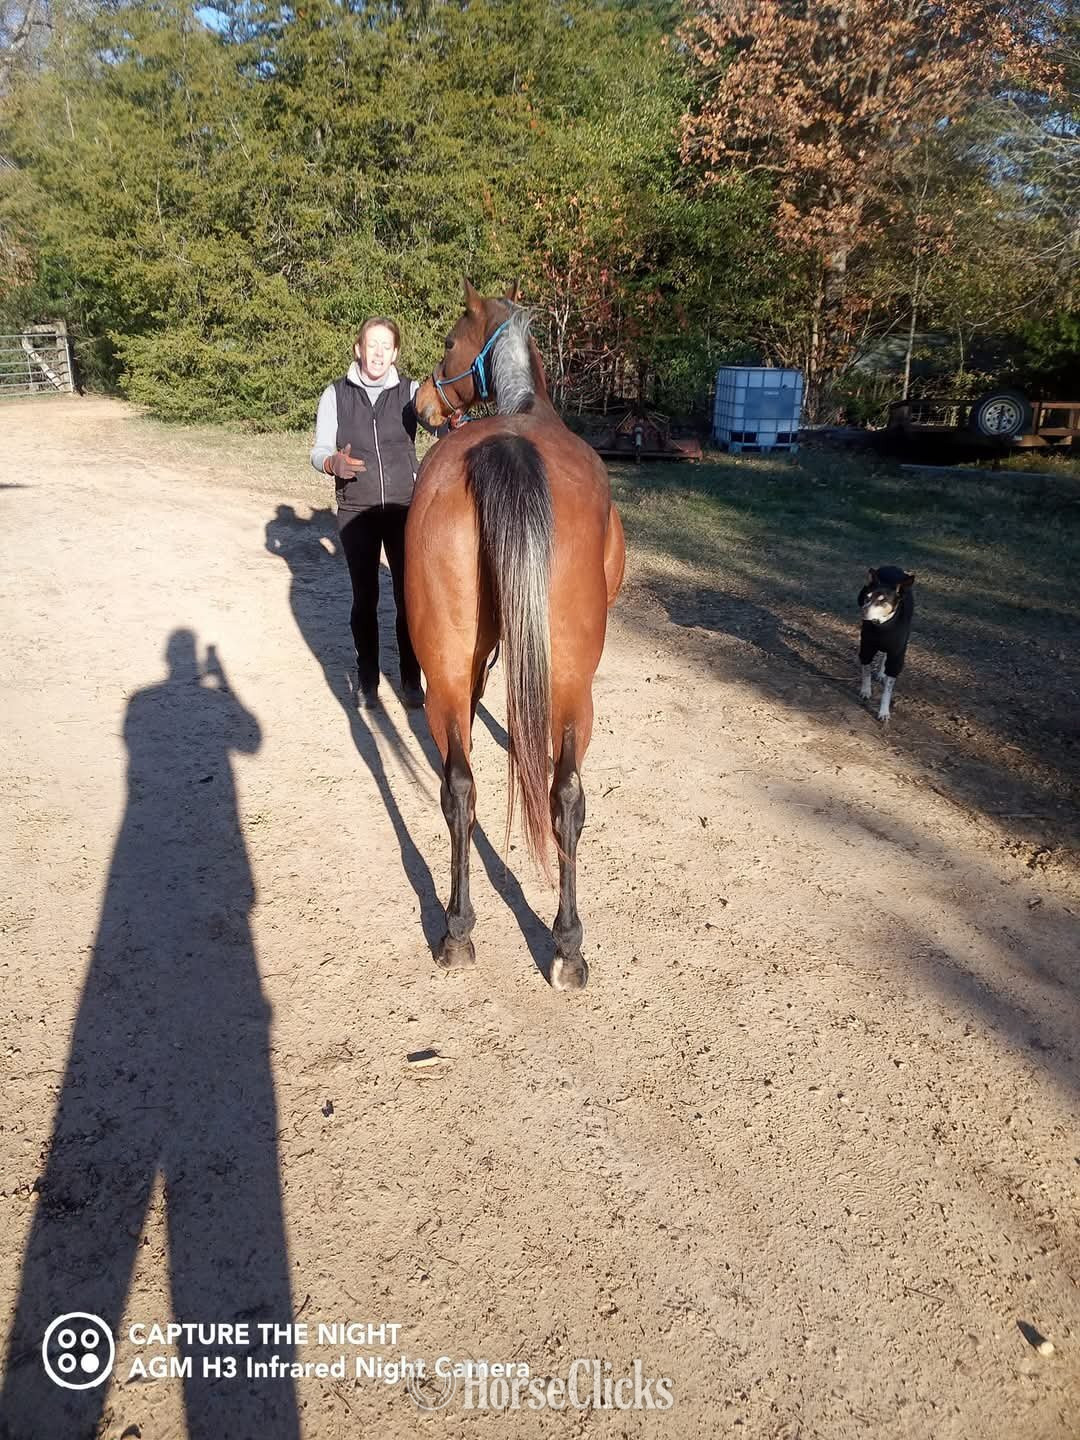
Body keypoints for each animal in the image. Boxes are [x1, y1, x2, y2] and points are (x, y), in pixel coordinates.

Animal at [406, 279, 625, 990]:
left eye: (450, 340)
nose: (421, 401)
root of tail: (504, 447)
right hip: (574, 686)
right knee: (564, 797)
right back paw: (563, 944)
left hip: (453, 668)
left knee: (464, 787)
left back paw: (461, 930)